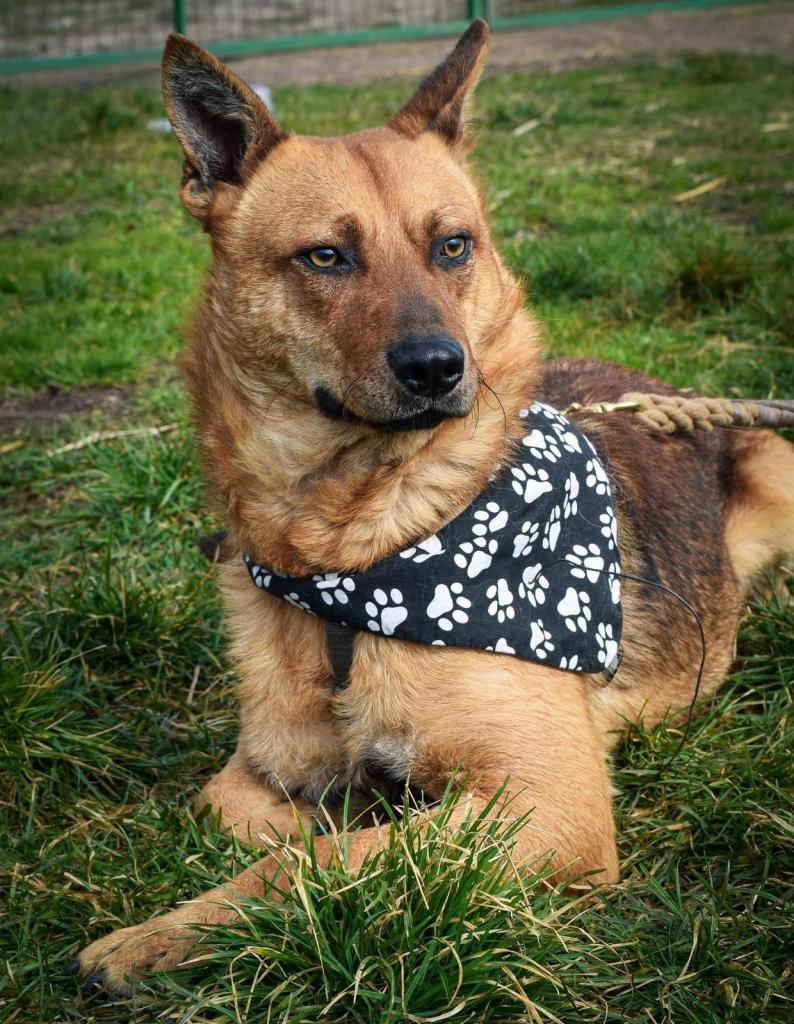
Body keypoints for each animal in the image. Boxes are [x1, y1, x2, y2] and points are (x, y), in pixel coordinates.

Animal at [77, 20, 794, 995]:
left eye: (452, 245)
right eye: (326, 255)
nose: (436, 368)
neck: (353, 549)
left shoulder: (550, 803)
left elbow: (319, 860)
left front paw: (157, 937)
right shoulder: (261, 765)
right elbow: (244, 813)